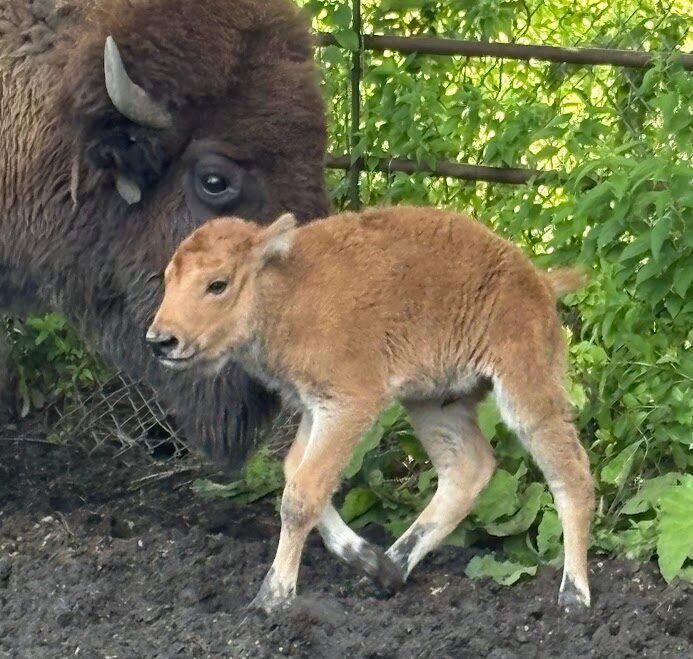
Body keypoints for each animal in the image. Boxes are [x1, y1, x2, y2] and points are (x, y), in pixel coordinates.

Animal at [148, 207, 595, 613]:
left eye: (217, 284)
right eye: (168, 279)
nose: (161, 340)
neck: (287, 288)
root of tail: (538, 280)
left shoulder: (348, 405)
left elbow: (302, 494)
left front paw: (272, 597)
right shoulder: (315, 407)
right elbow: (296, 473)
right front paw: (370, 563)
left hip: (525, 391)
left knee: (570, 473)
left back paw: (574, 596)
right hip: (434, 402)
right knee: (468, 468)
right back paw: (392, 567)